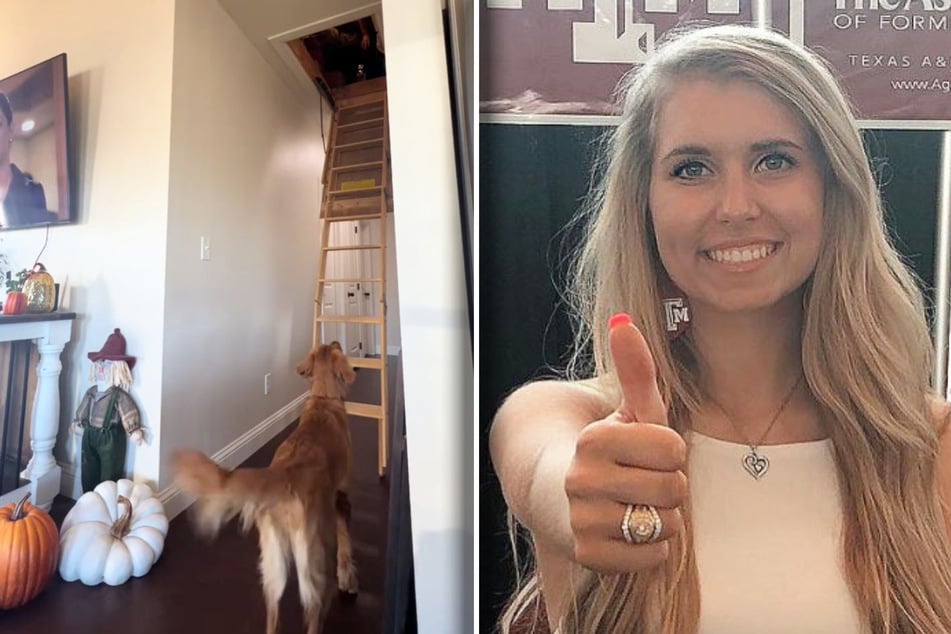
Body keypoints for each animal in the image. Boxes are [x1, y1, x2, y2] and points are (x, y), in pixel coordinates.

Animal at [173, 340, 358, 632]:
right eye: (332, 345)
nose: (337, 341)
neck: (323, 398)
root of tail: (284, 476)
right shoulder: (342, 498)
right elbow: (346, 545)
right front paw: (348, 581)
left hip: (273, 559)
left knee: (272, 612)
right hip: (310, 556)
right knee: (315, 610)